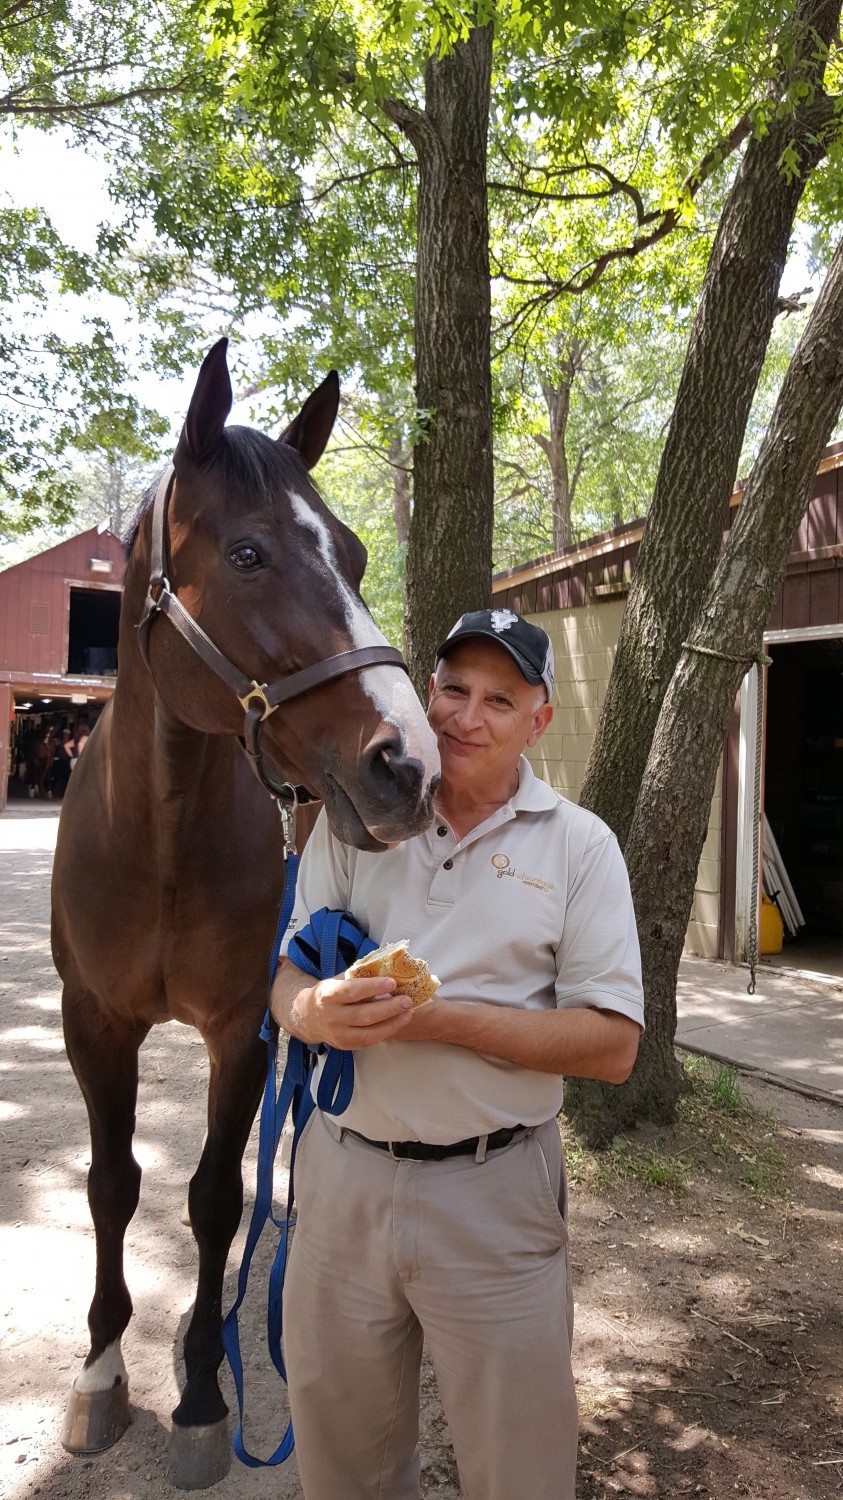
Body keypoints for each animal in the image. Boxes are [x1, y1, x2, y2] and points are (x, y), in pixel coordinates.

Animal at [51, 343, 441, 1488]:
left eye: (355, 553)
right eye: (250, 553)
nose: (409, 764)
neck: (158, 838)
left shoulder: (242, 1028)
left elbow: (217, 1197)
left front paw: (198, 1395)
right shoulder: (91, 1023)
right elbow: (111, 1184)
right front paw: (103, 1371)